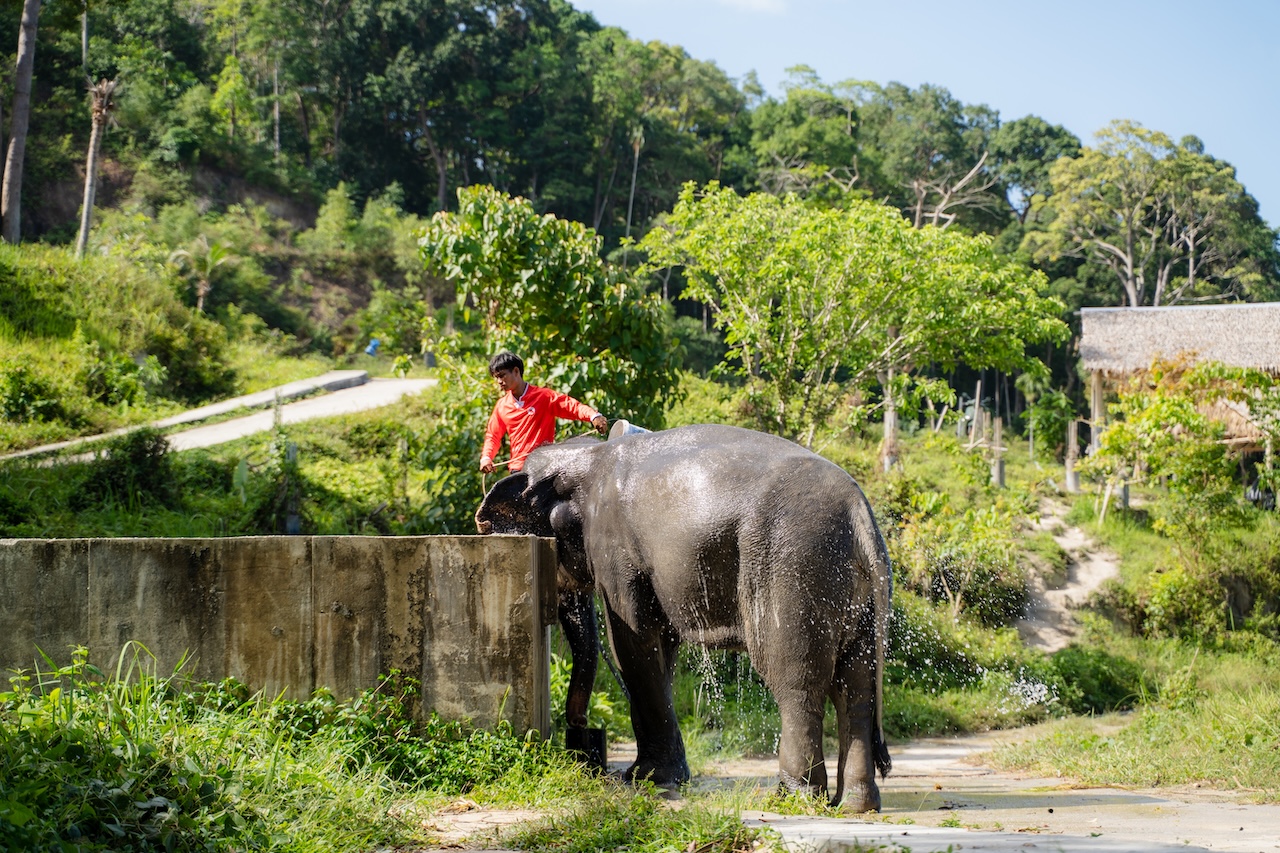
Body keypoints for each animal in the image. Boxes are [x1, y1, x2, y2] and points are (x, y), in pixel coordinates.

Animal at [474, 423, 892, 812]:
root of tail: (860, 513)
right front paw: (662, 778)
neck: (588, 457)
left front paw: (644, 779)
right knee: (856, 687)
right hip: (854, 594)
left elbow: (632, 642)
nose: (583, 736)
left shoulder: (614, 547)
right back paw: (856, 805)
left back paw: (793, 798)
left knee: (796, 681)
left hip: (793, 567)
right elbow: (663, 646)